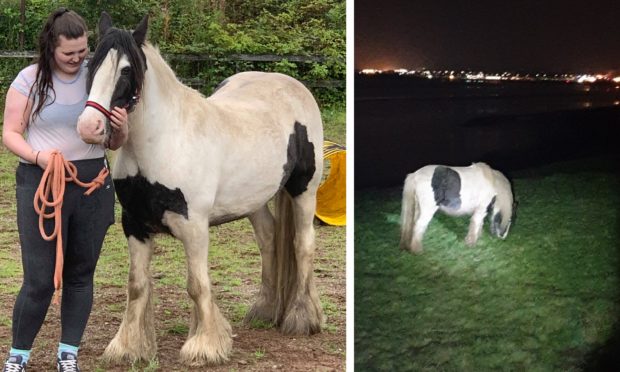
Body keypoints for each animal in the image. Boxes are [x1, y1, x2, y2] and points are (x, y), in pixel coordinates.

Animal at [77, 12, 324, 366]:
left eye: (125, 70)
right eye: (91, 65)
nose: (89, 127)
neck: (164, 141)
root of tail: (292, 87)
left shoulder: (194, 228)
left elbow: (197, 285)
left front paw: (204, 346)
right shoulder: (134, 225)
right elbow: (136, 285)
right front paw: (127, 347)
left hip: (304, 190)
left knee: (302, 244)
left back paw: (302, 318)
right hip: (253, 202)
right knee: (269, 239)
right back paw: (264, 310)